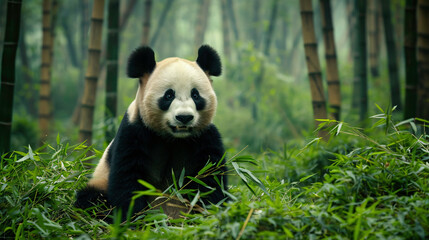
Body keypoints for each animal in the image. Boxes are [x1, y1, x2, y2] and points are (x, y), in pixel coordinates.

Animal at [74, 45, 227, 221]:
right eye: (169, 95)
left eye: (195, 95)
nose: (184, 117)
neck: (174, 138)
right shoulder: (135, 132)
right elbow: (128, 178)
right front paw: (134, 217)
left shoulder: (205, 136)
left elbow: (210, 177)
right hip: (100, 181)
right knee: (91, 198)